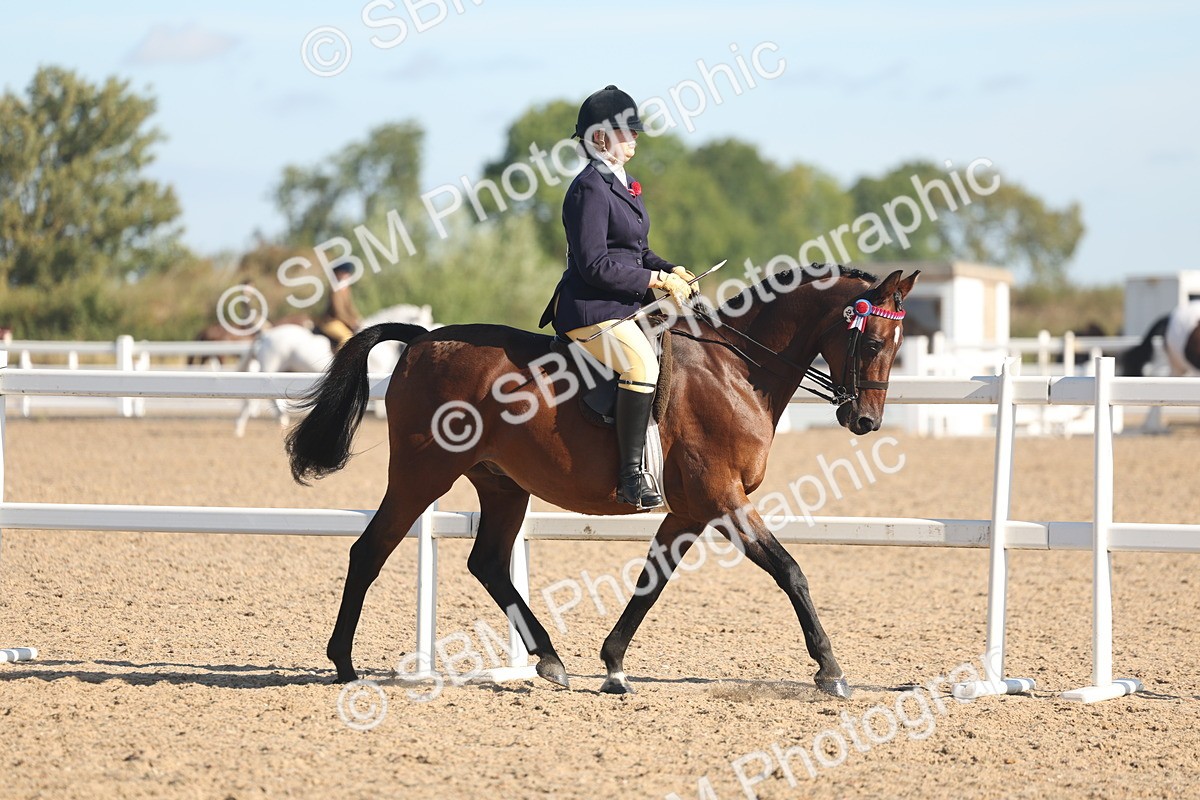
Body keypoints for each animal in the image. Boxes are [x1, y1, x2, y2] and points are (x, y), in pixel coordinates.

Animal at [233, 304, 435, 436]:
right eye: (426, 320)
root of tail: (266, 334)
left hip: (283, 369)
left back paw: (242, 427)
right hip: (272, 365)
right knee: (264, 396)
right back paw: (278, 420)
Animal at [285, 268, 918, 699]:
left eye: (897, 345)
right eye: (871, 342)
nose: (866, 421)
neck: (736, 370)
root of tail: (422, 338)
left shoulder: (689, 510)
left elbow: (651, 582)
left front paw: (613, 663)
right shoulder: (723, 499)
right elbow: (791, 571)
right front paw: (830, 670)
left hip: (502, 485)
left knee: (487, 563)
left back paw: (549, 660)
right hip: (422, 474)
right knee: (369, 551)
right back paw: (343, 663)